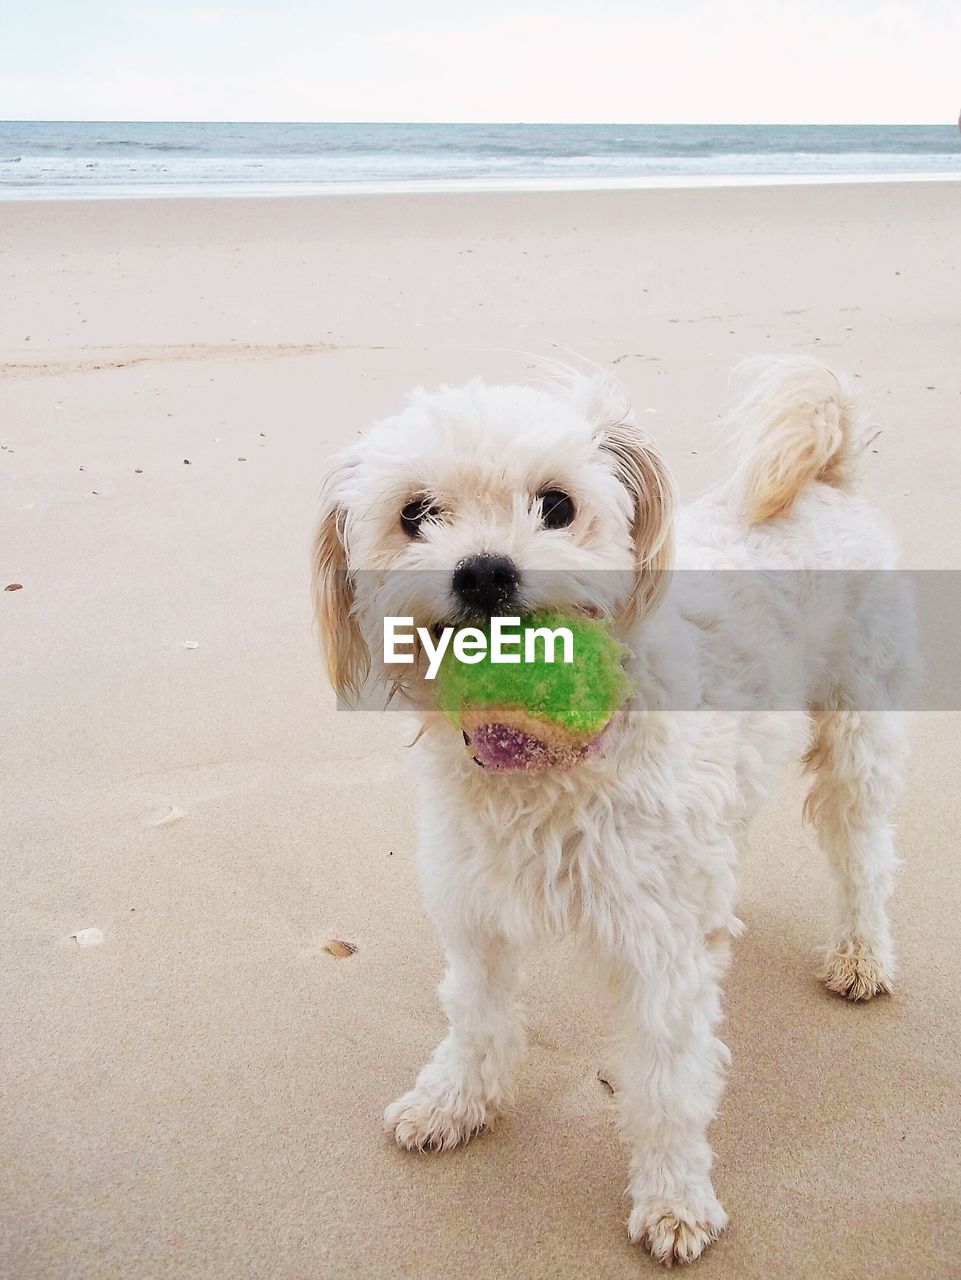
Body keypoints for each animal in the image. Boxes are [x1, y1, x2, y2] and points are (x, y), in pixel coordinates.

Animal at [317, 355, 916, 1264]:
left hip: (856, 733)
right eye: (415, 514)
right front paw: (454, 1102)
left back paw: (859, 954)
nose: (483, 571)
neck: (540, 758)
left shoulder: (656, 953)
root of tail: (827, 475)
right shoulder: (474, 912)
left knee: (862, 854)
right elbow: (476, 1019)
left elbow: (667, 1086)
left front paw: (673, 1200)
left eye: (557, 505)